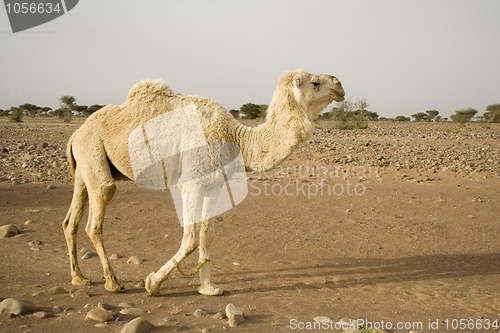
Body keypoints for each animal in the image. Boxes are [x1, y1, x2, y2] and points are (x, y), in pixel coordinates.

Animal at [61, 68, 344, 294]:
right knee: (96, 215)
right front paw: (152, 283)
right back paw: (113, 282)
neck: (236, 137)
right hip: (94, 156)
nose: (340, 84)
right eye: (315, 82)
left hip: (85, 164)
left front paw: (208, 288)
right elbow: (190, 239)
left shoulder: (214, 185)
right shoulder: (191, 183)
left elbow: (207, 235)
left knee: (70, 220)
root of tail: (75, 134)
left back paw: (79, 277)